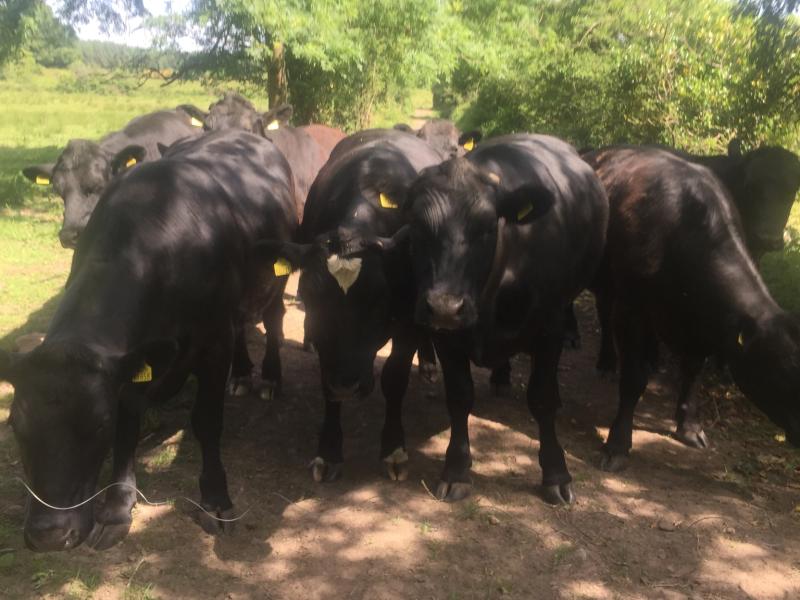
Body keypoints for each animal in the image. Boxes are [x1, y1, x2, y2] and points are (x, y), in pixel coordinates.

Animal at [0, 129, 296, 552]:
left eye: (97, 425)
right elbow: (130, 422)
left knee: (272, 318)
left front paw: (215, 499)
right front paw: (117, 505)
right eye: (15, 424)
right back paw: (241, 375)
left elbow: (207, 421)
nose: (49, 534)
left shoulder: (214, 340)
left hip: (277, 276)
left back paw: (268, 378)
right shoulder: (128, 364)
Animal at [256, 128, 443, 483]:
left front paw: (393, 449)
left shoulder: (407, 321)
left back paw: (428, 364)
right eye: (309, 298)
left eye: (378, 300)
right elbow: (326, 386)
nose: (346, 383)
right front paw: (329, 451)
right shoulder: (329, 354)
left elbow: (395, 379)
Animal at [400, 134, 608, 504]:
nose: (445, 305)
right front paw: (456, 470)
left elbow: (542, 397)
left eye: (486, 228)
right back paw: (500, 375)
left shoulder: (549, 326)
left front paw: (556, 474)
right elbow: (459, 396)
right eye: (417, 228)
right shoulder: (446, 335)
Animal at [583, 147, 800, 471]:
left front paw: (689, 427)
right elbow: (632, 378)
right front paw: (618, 444)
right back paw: (607, 362)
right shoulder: (631, 308)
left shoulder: (700, 324)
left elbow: (692, 373)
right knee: (604, 314)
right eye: (783, 371)